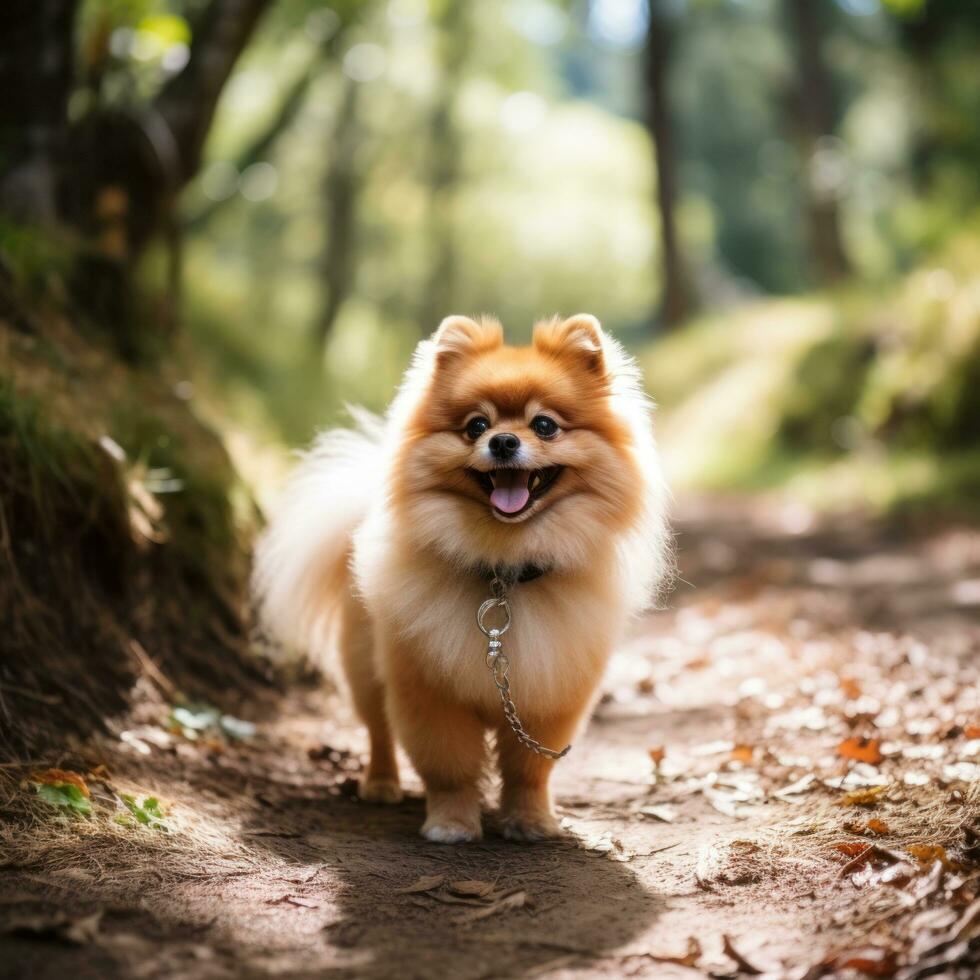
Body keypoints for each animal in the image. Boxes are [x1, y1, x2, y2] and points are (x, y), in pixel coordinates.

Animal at [253, 314, 668, 844]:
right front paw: (451, 823)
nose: (503, 441)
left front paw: (531, 820)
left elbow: (529, 769)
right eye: (476, 426)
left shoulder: (550, 692)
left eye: (545, 425)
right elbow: (448, 766)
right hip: (366, 667)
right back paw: (381, 784)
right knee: (378, 730)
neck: (503, 570)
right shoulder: (430, 691)